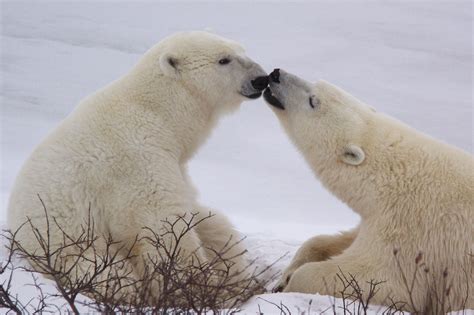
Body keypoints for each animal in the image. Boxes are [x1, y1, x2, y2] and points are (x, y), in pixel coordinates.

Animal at [7, 31, 268, 302]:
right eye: (224, 60)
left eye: (242, 51)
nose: (261, 79)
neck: (158, 112)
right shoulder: (138, 159)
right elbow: (163, 225)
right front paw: (198, 290)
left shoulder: (174, 162)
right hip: (70, 247)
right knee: (112, 275)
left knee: (217, 225)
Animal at [264, 69, 472, 314]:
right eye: (316, 83)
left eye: (313, 101)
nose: (276, 74)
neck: (394, 175)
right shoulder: (375, 217)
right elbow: (330, 240)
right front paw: (284, 276)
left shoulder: (415, 231)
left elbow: (381, 279)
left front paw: (288, 286)